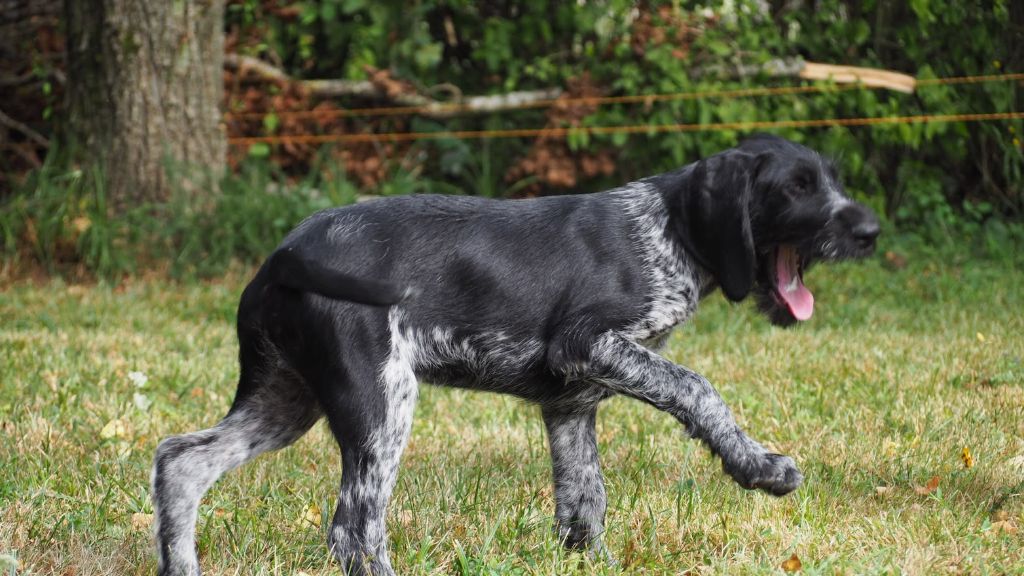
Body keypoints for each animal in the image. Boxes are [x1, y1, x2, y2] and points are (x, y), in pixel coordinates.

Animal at [149, 135, 880, 573]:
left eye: (832, 179)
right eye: (797, 187)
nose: (871, 231)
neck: (669, 229)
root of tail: (283, 253)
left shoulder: (571, 403)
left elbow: (585, 500)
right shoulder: (588, 343)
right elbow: (698, 388)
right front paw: (758, 466)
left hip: (286, 397)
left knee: (181, 462)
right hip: (380, 401)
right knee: (354, 530)